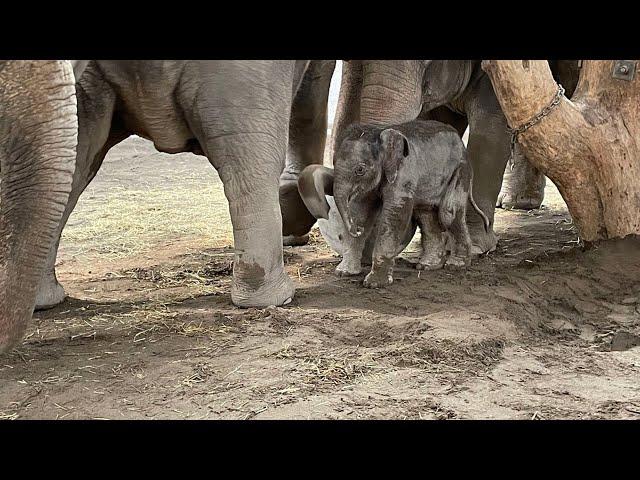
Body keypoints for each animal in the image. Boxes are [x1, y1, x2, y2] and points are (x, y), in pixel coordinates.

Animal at [332, 120, 488, 288]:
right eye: (333, 163)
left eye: (360, 170)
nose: (357, 230)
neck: (380, 132)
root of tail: (463, 146)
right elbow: (362, 211)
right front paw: (343, 273)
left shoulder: (404, 174)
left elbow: (395, 214)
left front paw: (374, 284)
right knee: (425, 215)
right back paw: (426, 266)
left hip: (461, 170)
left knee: (447, 213)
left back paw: (456, 265)